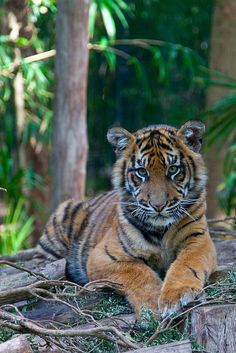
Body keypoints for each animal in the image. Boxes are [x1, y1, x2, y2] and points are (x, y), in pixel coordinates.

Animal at [37, 120, 218, 316]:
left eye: (173, 169)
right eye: (141, 172)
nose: (158, 206)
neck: (160, 230)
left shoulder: (198, 240)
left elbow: (186, 264)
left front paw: (178, 295)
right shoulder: (103, 255)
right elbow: (139, 273)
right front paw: (152, 307)